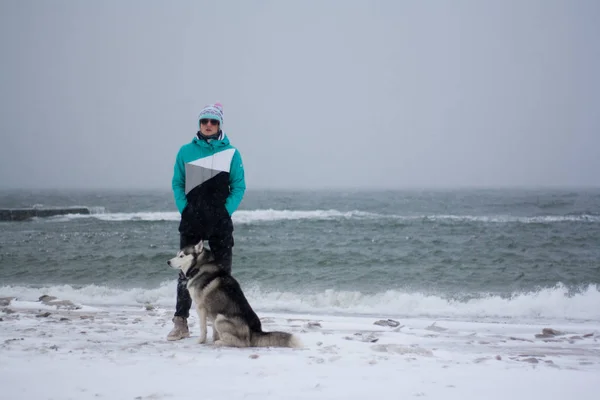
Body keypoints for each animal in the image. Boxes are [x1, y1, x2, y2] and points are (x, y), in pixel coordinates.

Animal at [166, 239, 300, 348]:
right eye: (177, 254)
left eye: (182, 256)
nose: (168, 262)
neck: (199, 266)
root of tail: (255, 331)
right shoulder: (211, 311)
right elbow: (214, 330)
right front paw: (214, 338)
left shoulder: (201, 308)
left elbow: (203, 328)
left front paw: (201, 341)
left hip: (220, 318)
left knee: (243, 343)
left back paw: (220, 342)